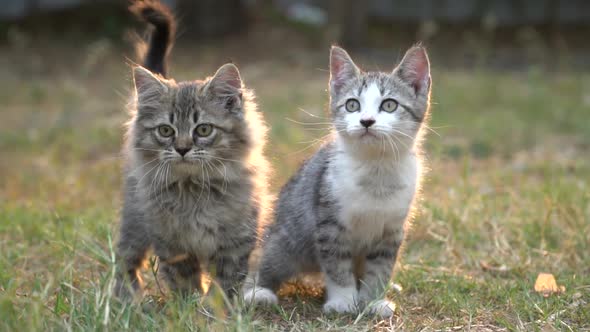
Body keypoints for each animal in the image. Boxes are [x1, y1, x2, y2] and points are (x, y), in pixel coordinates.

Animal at [114, 1, 270, 300]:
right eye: (166, 131)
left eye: (204, 130)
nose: (183, 148)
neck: (194, 189)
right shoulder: (171, 243)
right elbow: (184, 280)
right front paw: (188, 305)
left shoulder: (236, 243)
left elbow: (227, 282)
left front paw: (220, 306)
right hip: (135, 219)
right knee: (126, 259)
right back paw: (125, 297)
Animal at [246, 44, 434, 316]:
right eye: (352, 105)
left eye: (389, 105)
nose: (366, 121)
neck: (375, 169)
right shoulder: (329, 221)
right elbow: (336, 264)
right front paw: (343, 301)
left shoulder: (392, 229)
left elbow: (380, 268)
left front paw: (373, 301)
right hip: (286, 238)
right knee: (266, 261)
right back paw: (258, 291)